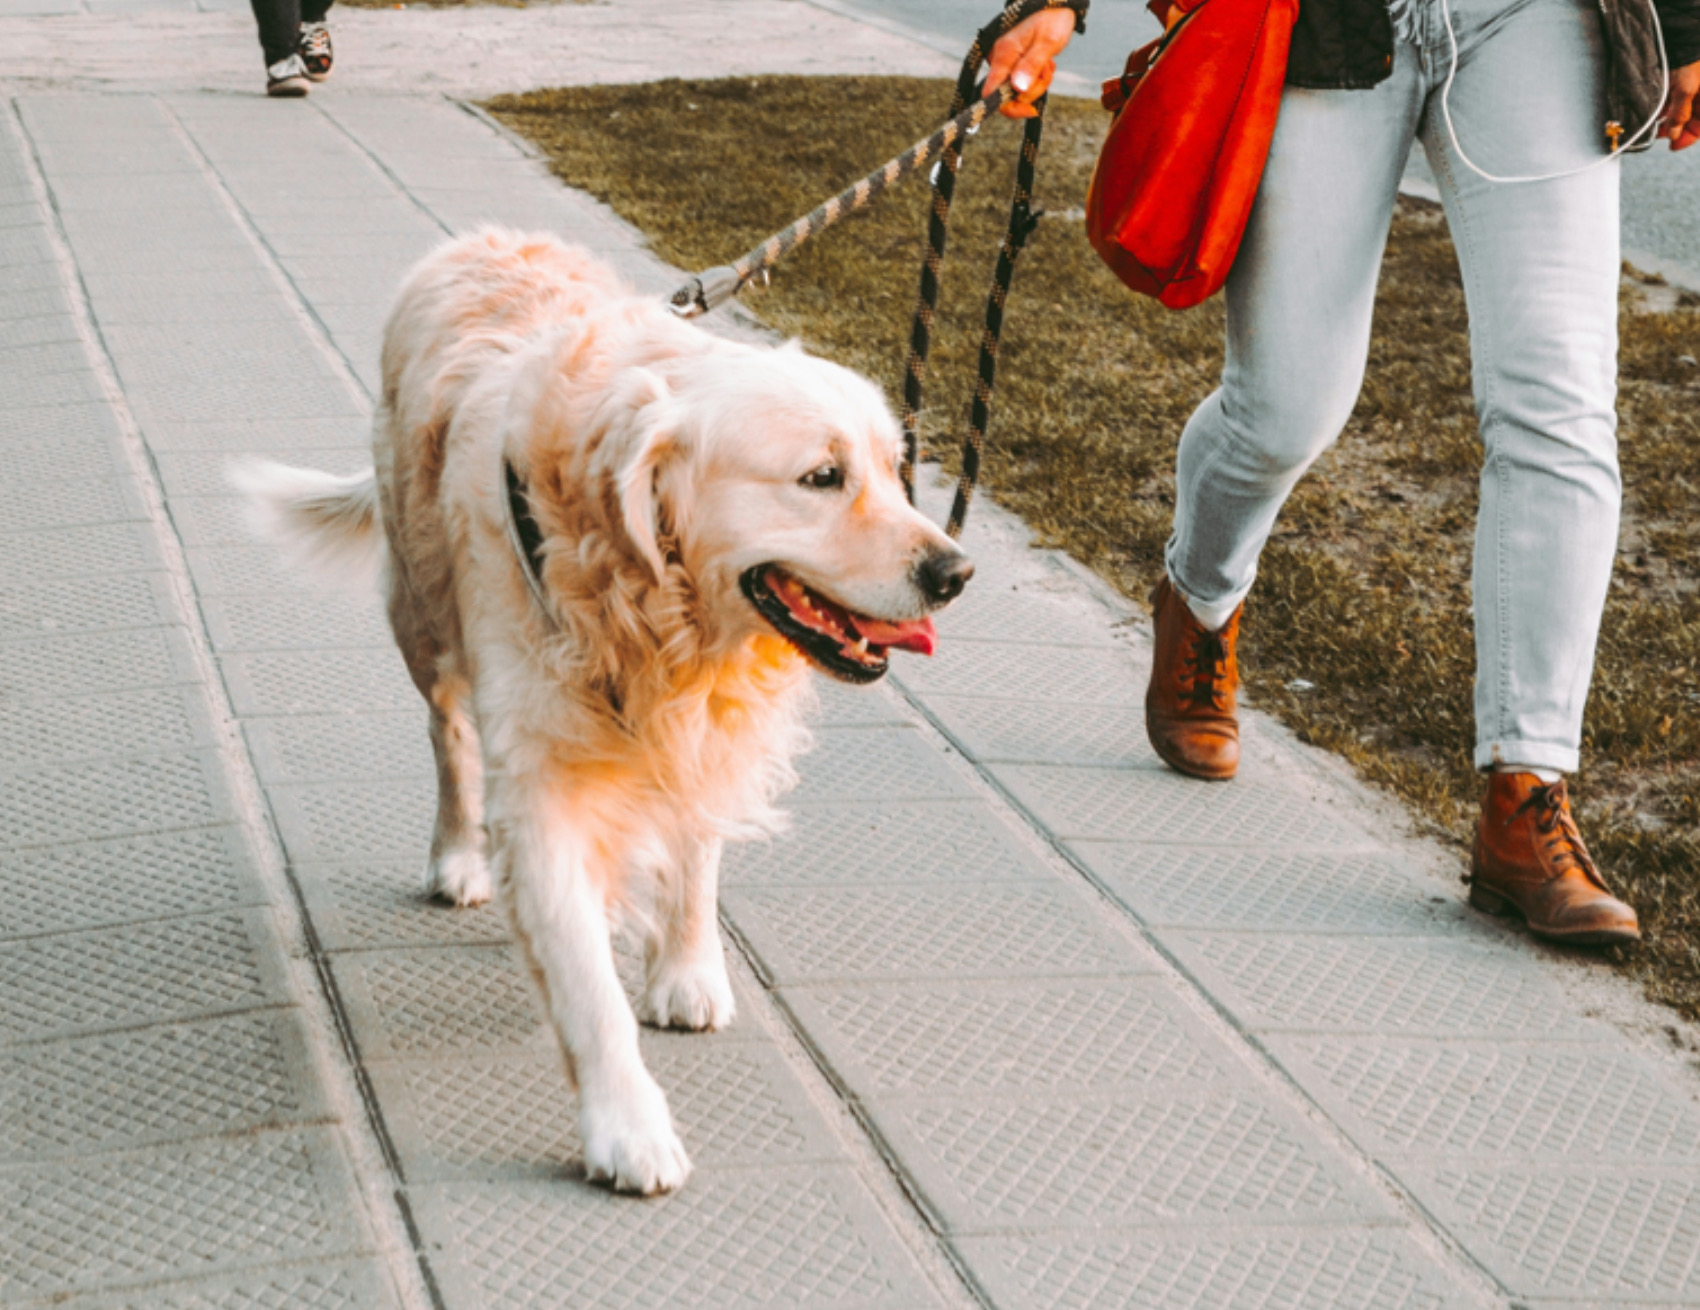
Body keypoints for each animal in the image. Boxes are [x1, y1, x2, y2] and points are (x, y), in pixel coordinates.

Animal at [246, 231, 979, 1196]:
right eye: (822, 477)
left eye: (897, 471)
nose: (956, 573)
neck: (654, 610)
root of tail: (477, 237)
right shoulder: (541, 786)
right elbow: (588, 986)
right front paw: (627, 1128)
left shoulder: (703, 732)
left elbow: (695, 856)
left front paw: (687, 970)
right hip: (422, 612)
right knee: (449, 736)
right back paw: (458, 855)